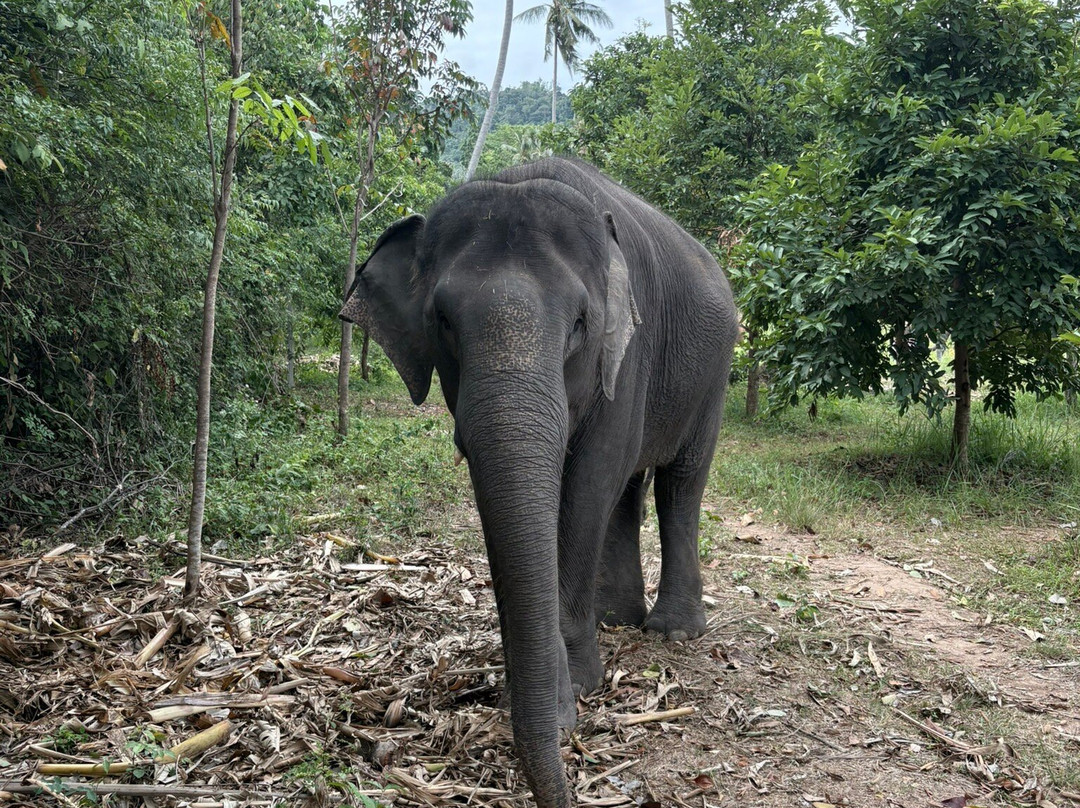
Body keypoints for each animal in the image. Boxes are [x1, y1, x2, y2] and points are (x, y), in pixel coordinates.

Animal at [340, 157, 738, 807]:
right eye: (441, 321)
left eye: (580, 323)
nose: (566, 770)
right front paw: (545, 693)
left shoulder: (628, 350)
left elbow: (589, 484)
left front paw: (575, 690)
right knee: (630, 490)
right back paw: (616, 620)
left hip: (714, 375)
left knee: (679, 484)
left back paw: (673, 632)